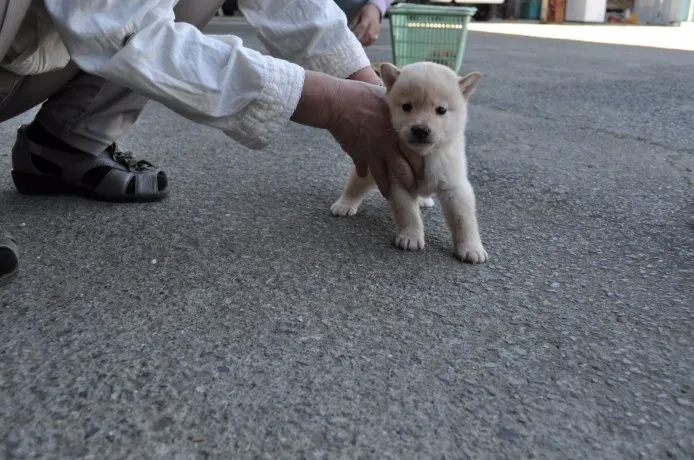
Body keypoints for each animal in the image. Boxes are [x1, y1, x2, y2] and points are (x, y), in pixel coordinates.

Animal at [334, 61, 490, 264]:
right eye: (407, 106)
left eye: (441, 110)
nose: (420, 130)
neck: (424, 155)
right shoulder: (399, 181)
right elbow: (408, 214)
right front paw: (410, 237)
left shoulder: (454, 186)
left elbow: (463, 219)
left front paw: (471, 247)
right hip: (372, 166)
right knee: (356, 184)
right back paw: (345, 204)